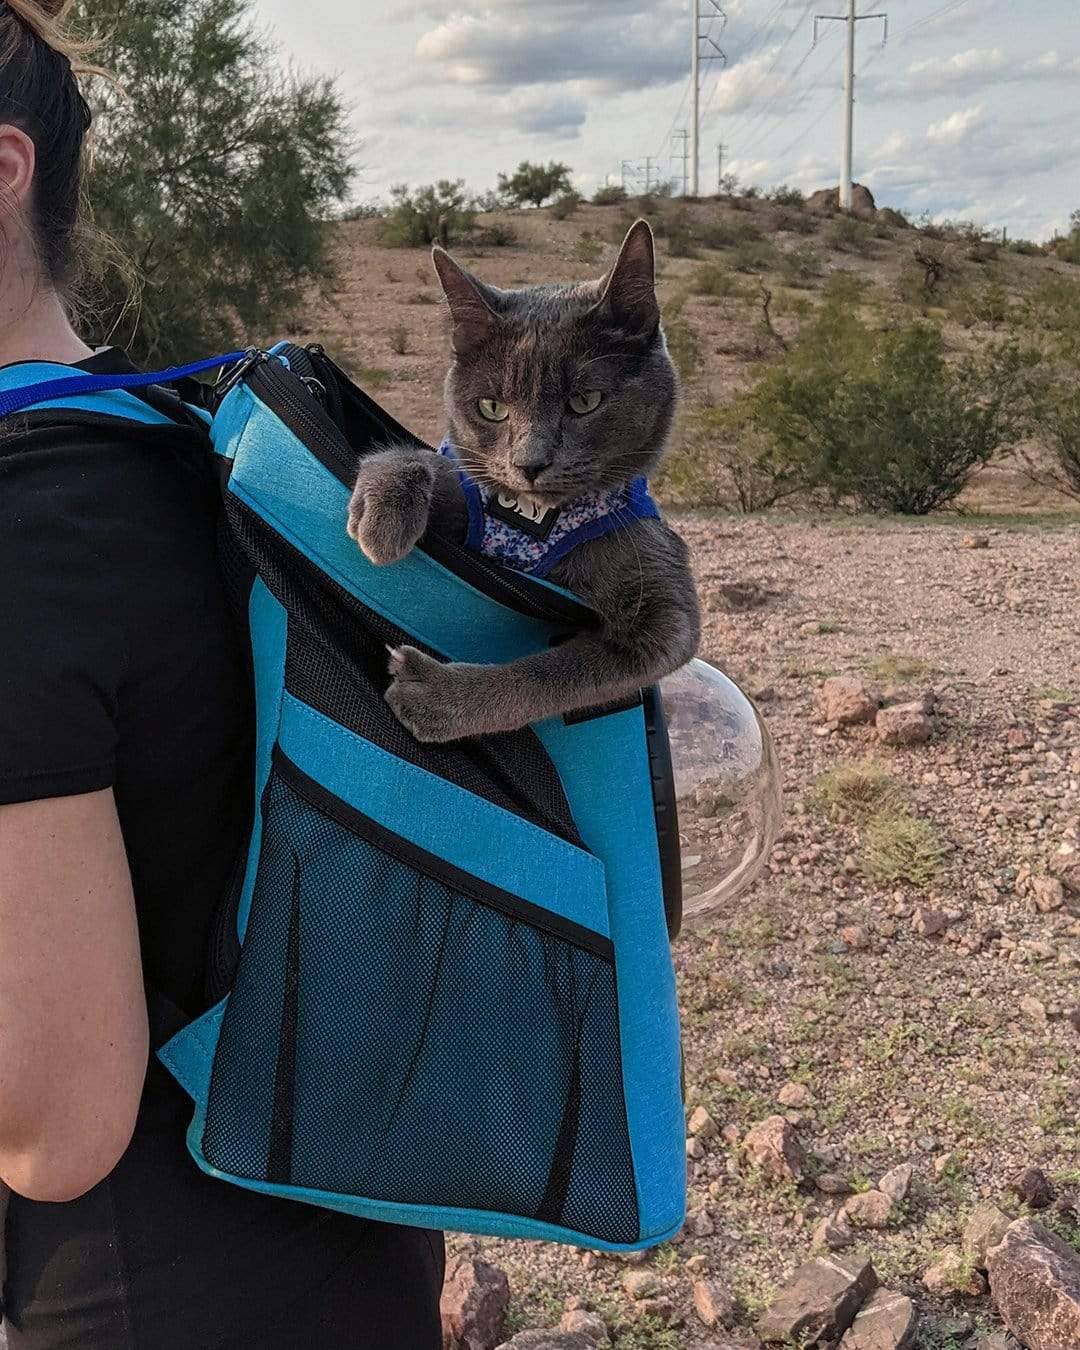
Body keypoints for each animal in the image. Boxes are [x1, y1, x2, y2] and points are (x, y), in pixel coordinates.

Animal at [345, 225, 702, 745]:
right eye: (492, 407)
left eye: (584, 401)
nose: (529, 463)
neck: (536, 519)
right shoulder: (472, 492)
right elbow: (428, 460)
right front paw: (381, 514)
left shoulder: (665, 613)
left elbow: (553, 674)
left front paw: (438, 697)